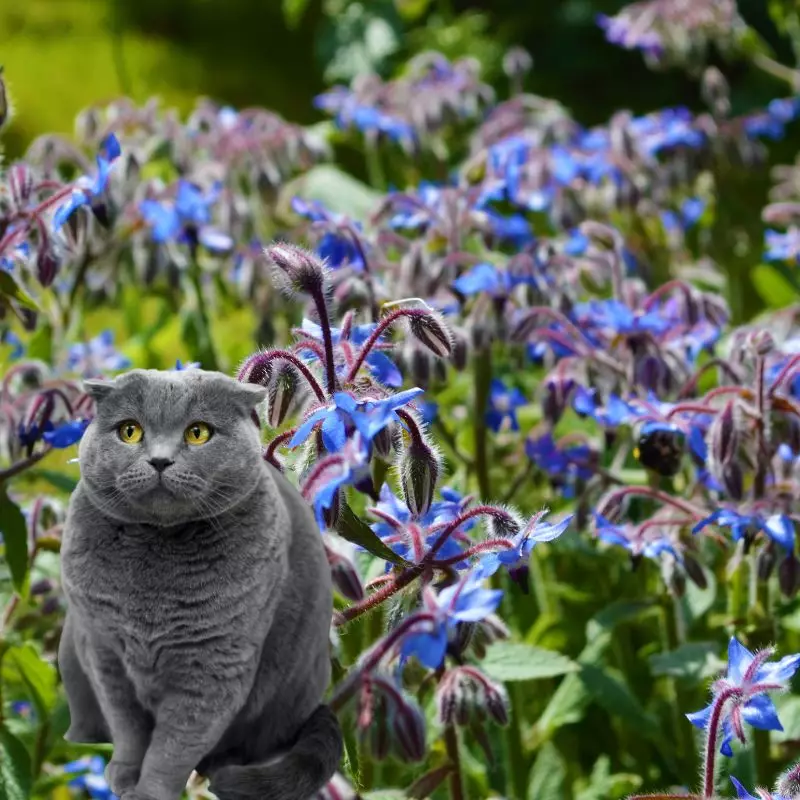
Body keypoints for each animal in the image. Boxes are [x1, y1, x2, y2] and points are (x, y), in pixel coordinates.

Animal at [57, 368, 342, 800]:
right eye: (129, 431)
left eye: (198, 433)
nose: (160, 460)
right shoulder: (105, 654)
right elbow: (128, 729)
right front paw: (124, 774)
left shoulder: (213, 664)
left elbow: (174, 746)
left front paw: (148, 792)